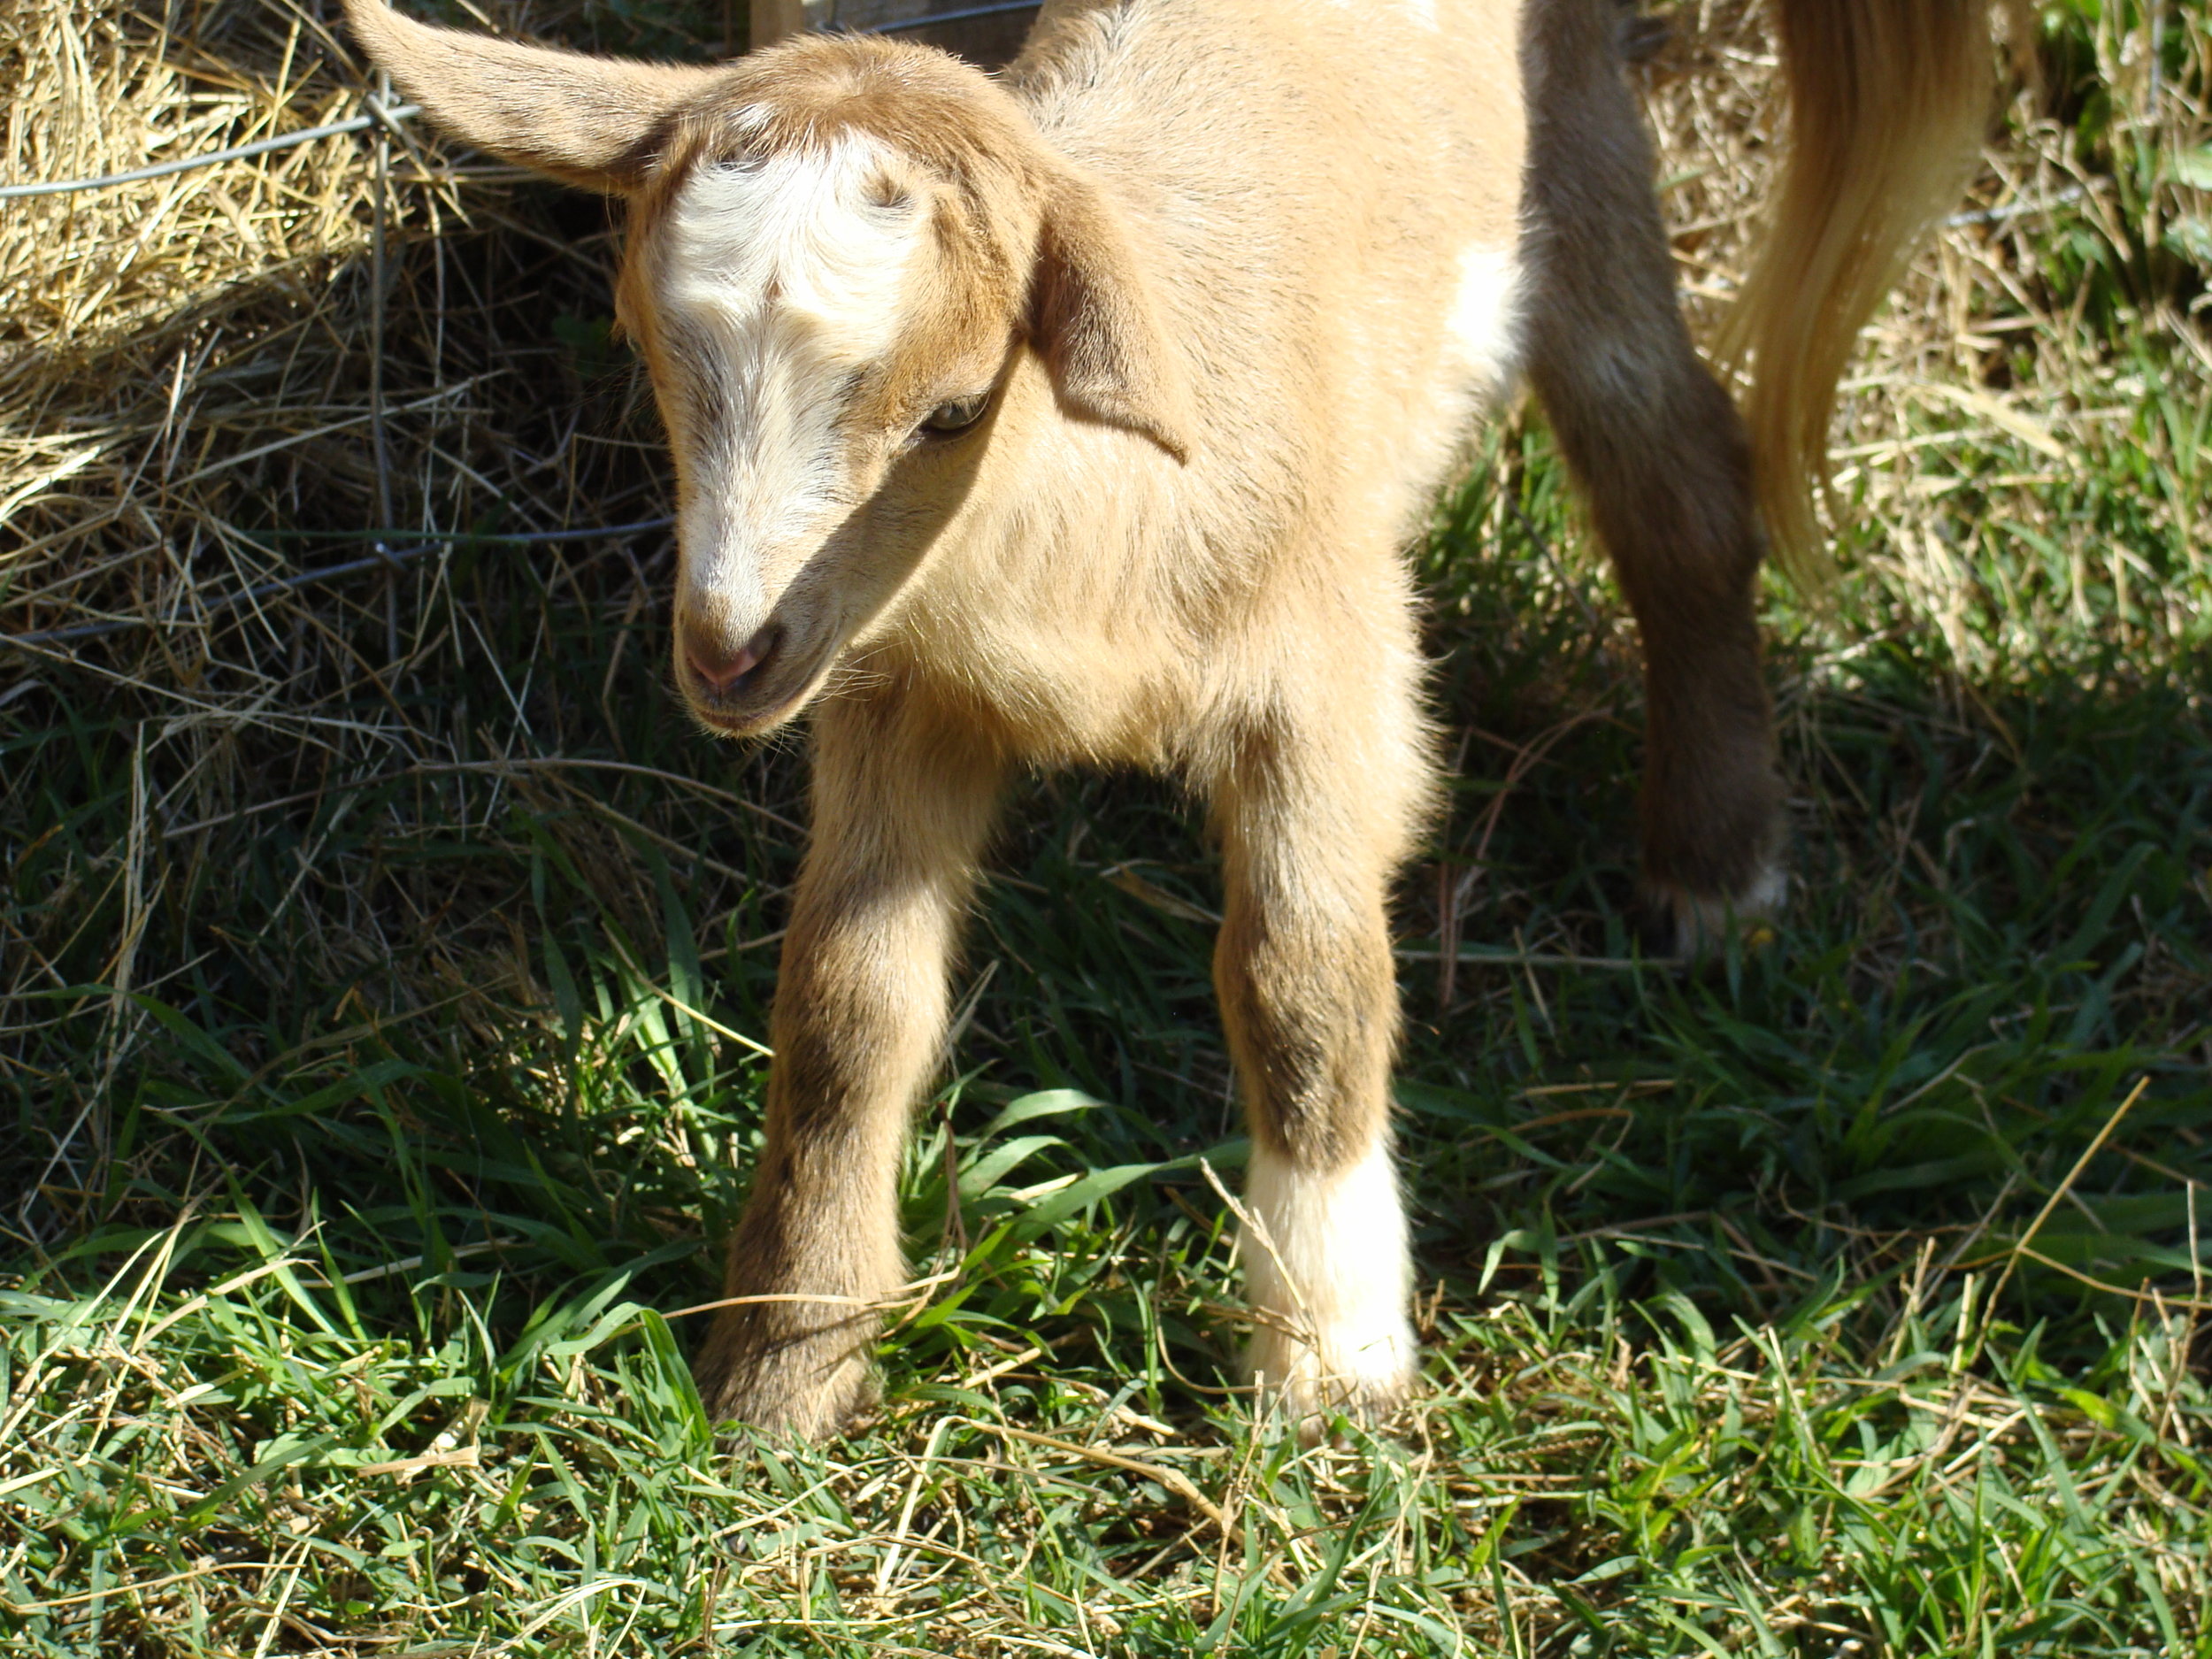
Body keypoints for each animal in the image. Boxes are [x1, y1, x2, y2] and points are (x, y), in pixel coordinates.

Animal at [341, 0, 2009, 1439]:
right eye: (647, 353)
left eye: (953, 409)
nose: (729, 651)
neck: (1087, 515)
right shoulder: (896, 688)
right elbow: (847, 1009)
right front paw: (786, 1366)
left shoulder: (1329, 669)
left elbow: (1302, 982)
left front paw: (1332, 1355)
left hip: (1580, 155)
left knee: (1674, 481)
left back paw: (1717, 867)